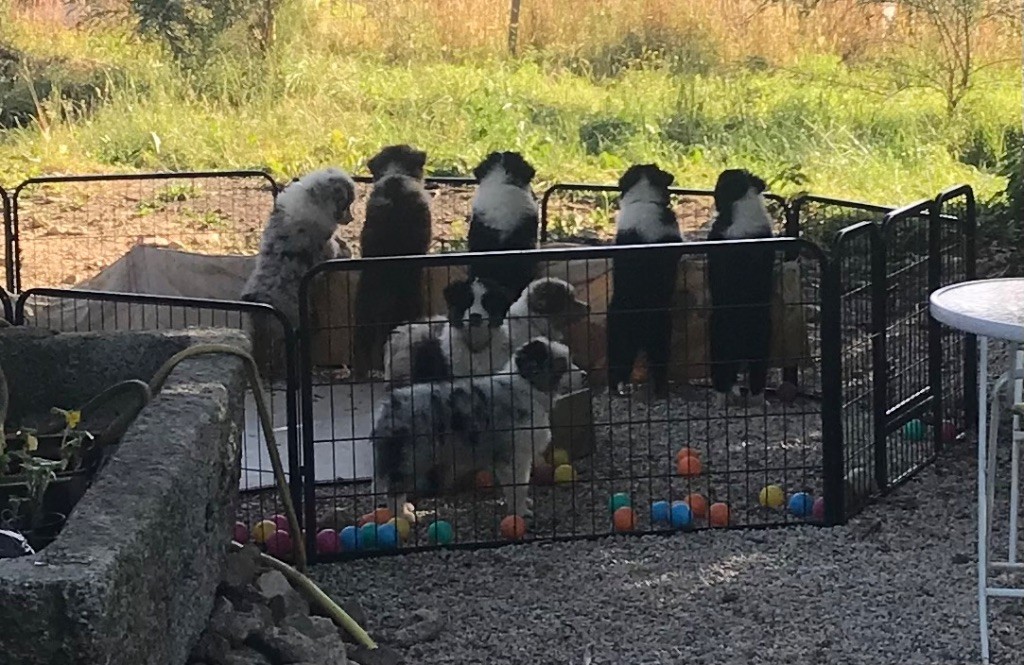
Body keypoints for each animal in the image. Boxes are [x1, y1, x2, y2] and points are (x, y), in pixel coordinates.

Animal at [374, 334, 585, 520]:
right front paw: (520, 512)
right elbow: (518, 486)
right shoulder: (515, 456)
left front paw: (522, 505)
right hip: (411, 458)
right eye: (561, 364)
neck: (527, 388)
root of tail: (389, 407)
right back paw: (402, 516)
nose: (584, 374)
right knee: (394, 490)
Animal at [602, 162, 684, 397]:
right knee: (659, 366)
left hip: (618, 340)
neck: (644, 200)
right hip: (660, 333)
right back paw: (661, 391)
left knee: (617, 368)